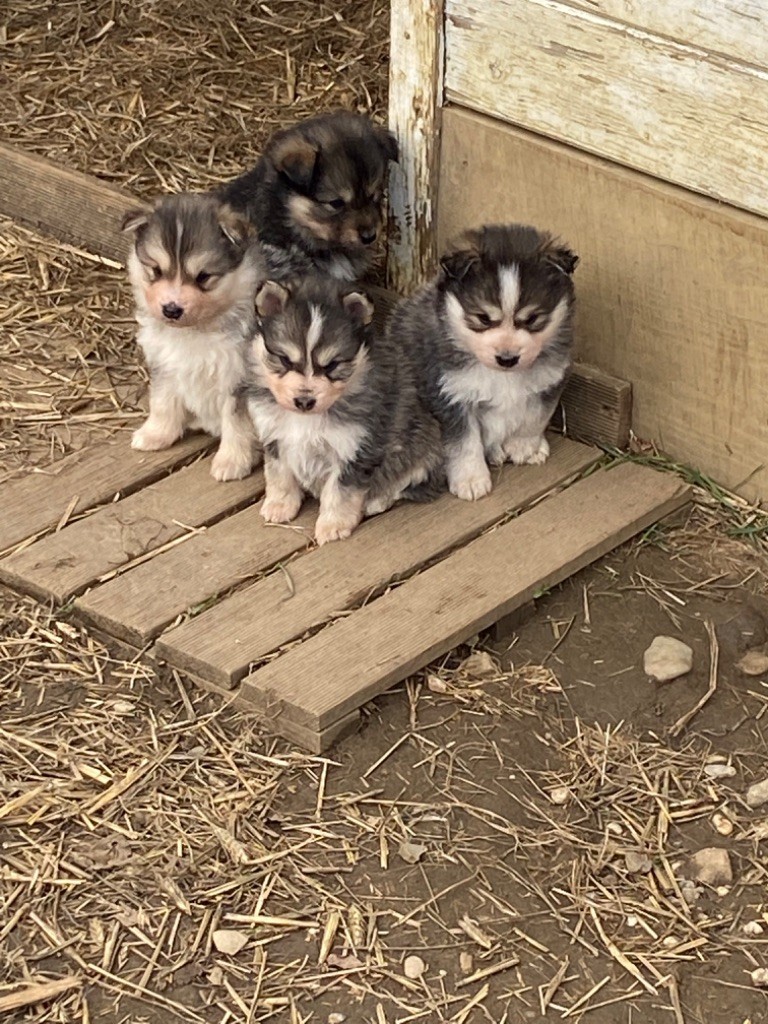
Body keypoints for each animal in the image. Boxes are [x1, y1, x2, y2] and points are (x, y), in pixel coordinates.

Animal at [123, 193, 268, 481]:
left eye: (204, 277)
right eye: (156, 270)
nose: (171, 309)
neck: (195, 331)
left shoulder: (239, 378)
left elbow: (236, 422)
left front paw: (232, 461)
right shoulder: (164, 363)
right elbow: (162, 401)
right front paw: (155, 434)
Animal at [240, 272, 444, 544]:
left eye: (332, 365)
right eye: (284, 359)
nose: (304, 401)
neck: (305, 418)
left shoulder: (354, 448)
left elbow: (340, 491)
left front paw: (333, 525)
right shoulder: (274, 435)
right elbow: (279, 474)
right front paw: (280, 505)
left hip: (423, 445)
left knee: (405, 481)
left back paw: (376, 501)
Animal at [393, 222, 581, 501]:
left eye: (532, 319)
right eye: (482, 318)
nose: (507, 359)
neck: (502, 376)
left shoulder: (551, 379)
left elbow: (537, 416)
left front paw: (525, 445)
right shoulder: (449, 394)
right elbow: (464, 444)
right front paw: (471, 479)